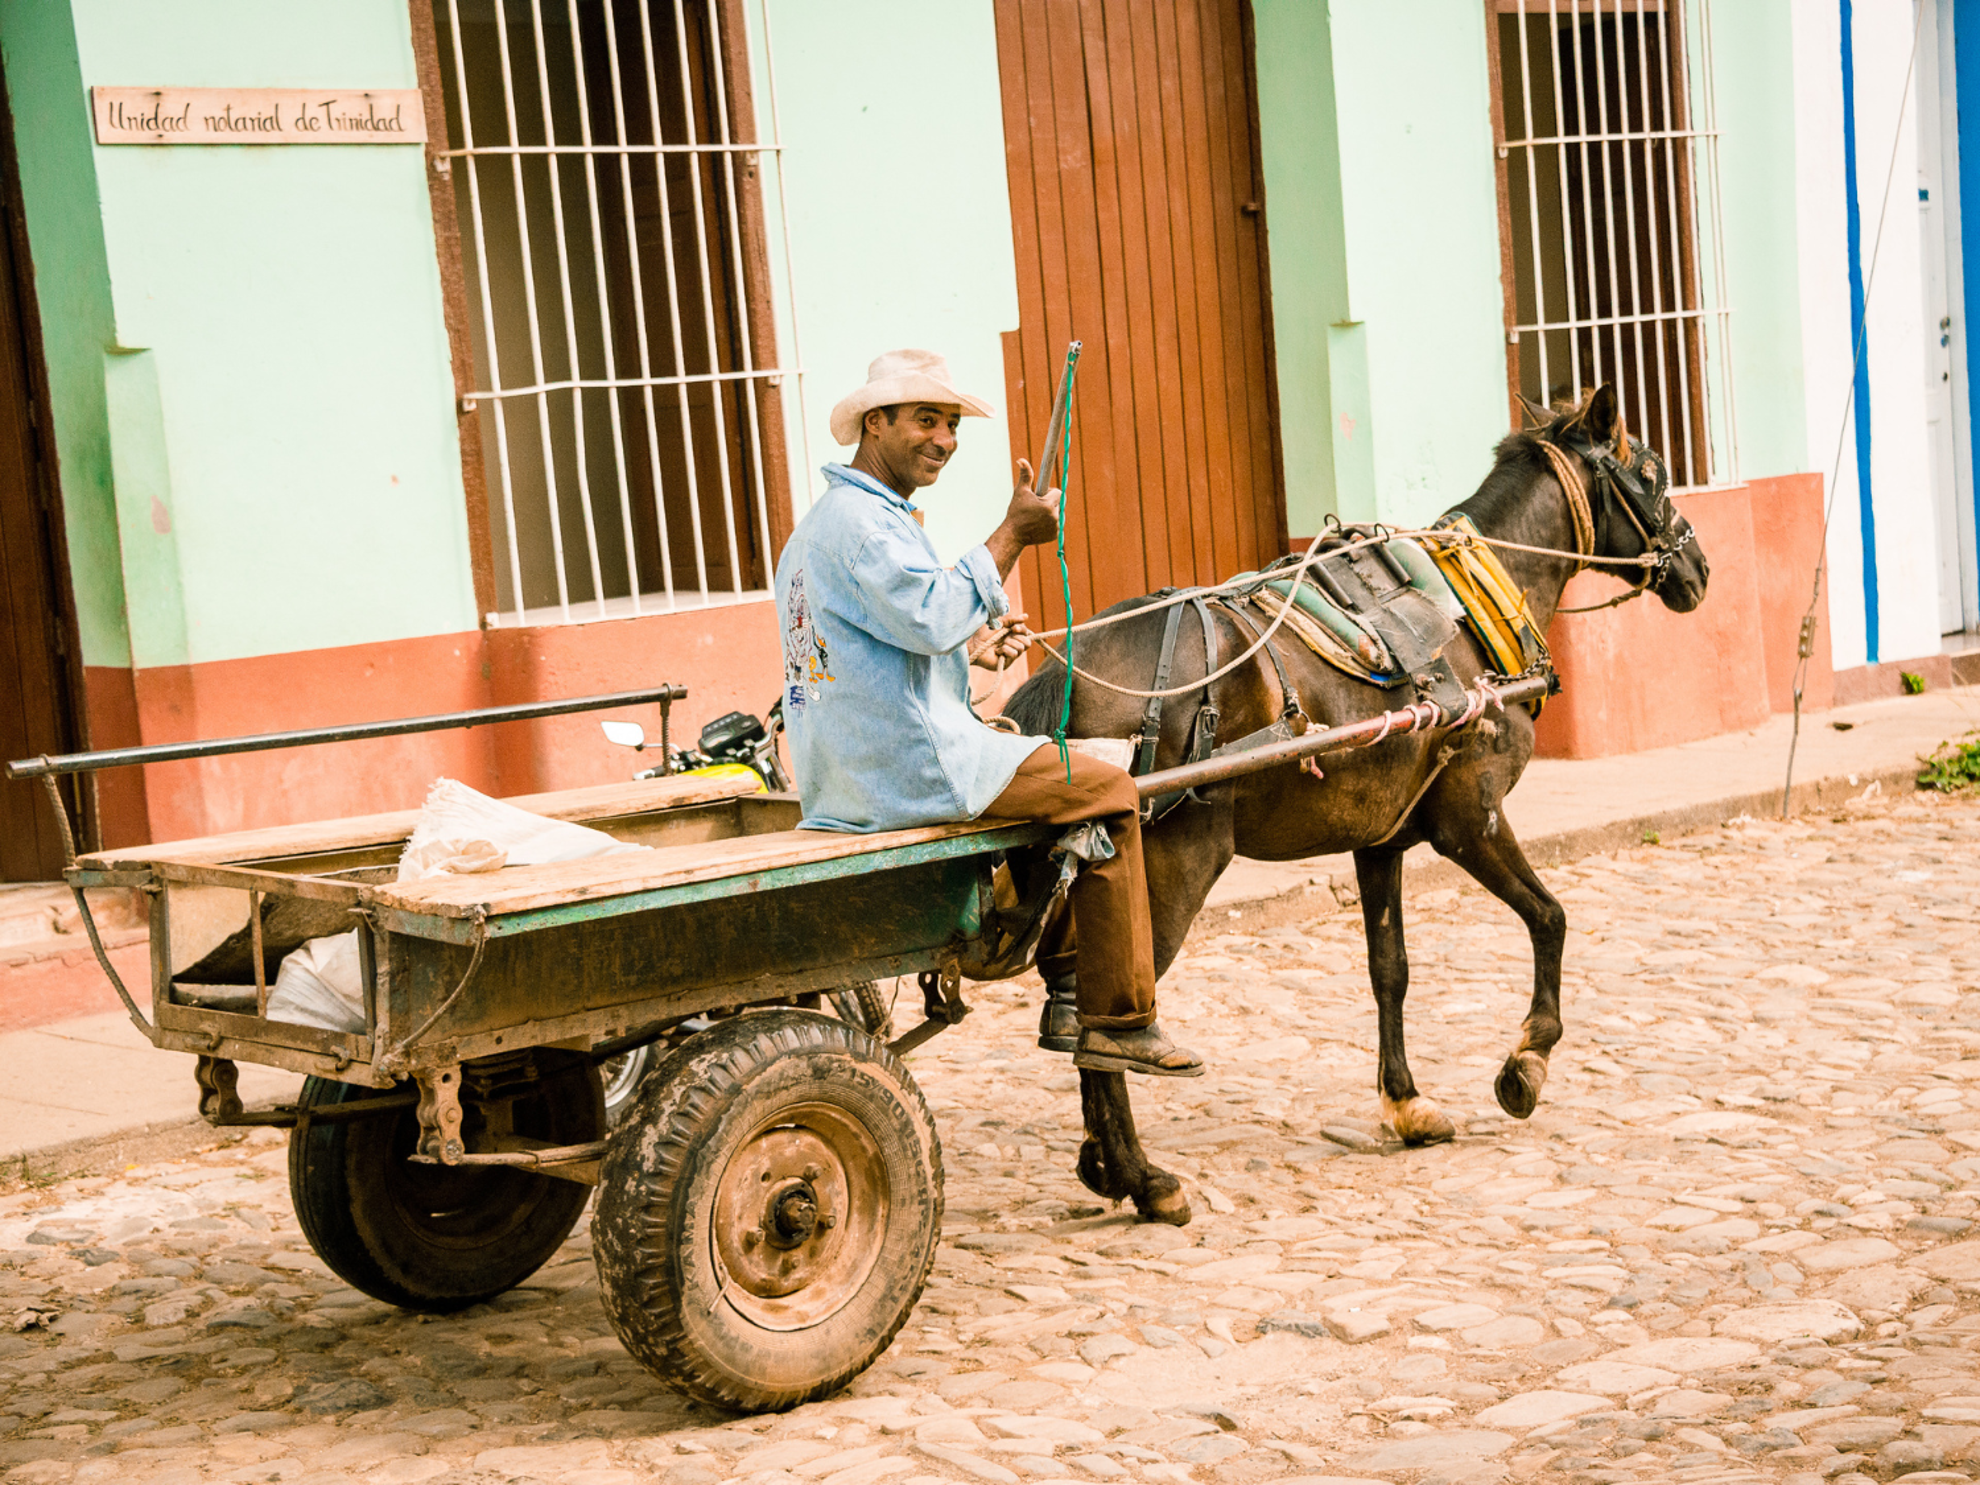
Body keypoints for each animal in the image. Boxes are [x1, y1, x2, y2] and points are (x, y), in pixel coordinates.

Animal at [997, 380, 1710, 1219]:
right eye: (1654, 472)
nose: (1698, 566)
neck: (1470, 605)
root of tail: (1068, 676)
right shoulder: (1471, 820)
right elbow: (1550, 917)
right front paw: (1525, 1062)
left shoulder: (1380, 839)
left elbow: (1388, 967)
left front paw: (1406, 1103)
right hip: (1175, 862)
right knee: (1103, 1012)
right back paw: (1143, 1175)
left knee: (1077, 1001)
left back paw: (1106, 1162)